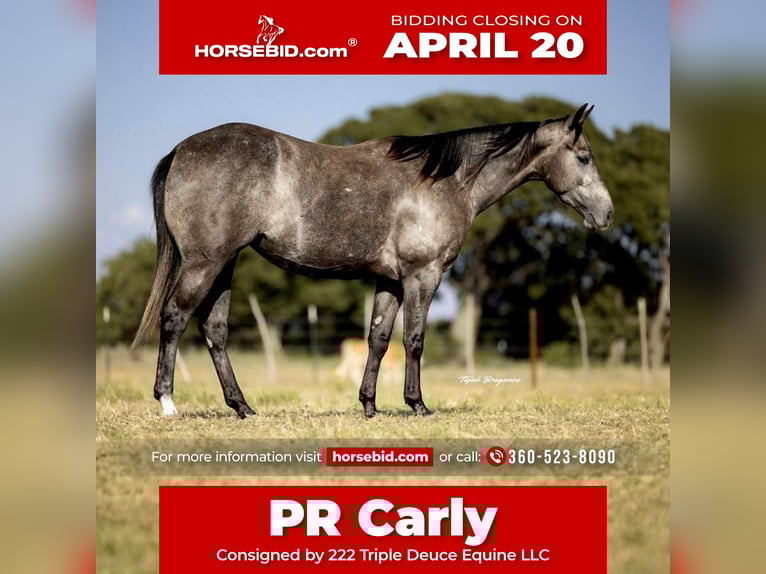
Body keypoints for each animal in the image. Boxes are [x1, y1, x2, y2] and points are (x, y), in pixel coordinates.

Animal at [132, 103, 614, 419]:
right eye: (584, 157)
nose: (607, 215)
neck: (446, 180)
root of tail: (181, 151)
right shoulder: (422, 276)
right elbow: (414, 340)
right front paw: (417, 405)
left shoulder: (391, 281)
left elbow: (378, 340)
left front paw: (369, 406)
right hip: (204, 263)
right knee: (174, 319)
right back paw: (168, 402)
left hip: (224, 265)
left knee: (214, 331)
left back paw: (243, 407)